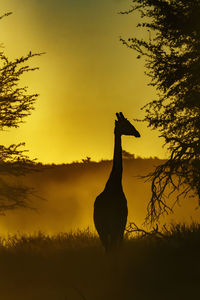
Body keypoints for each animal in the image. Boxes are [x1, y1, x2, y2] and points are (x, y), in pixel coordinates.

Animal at [93, 112, 140, 251]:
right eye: (125, 124)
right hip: (112, 228)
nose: (137, 133)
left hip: (102, 229)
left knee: (108, 249)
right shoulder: (120, 226)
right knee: (112, 248)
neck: (115, 184)